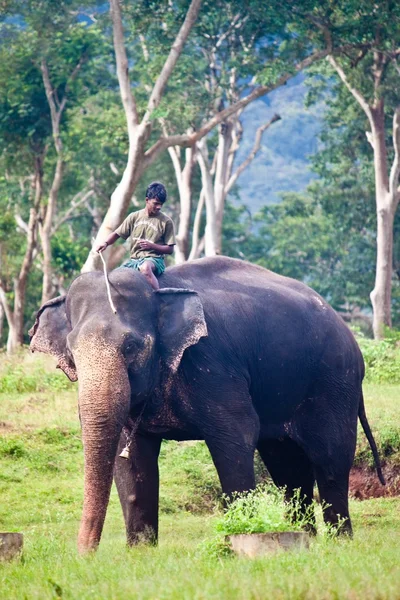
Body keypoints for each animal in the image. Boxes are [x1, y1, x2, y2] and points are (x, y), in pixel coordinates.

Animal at [28, 255, 384, 552]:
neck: (159, 291)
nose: (85, 556)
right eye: (71, 352)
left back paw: (339, 543)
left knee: (330, 460)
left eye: (131, 346)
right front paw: (141, 552)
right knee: (287, 467)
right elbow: (130, 456)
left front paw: (237, 540)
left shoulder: (213, 363)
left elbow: (237, 435)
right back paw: (303, 539)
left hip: (333, 382)